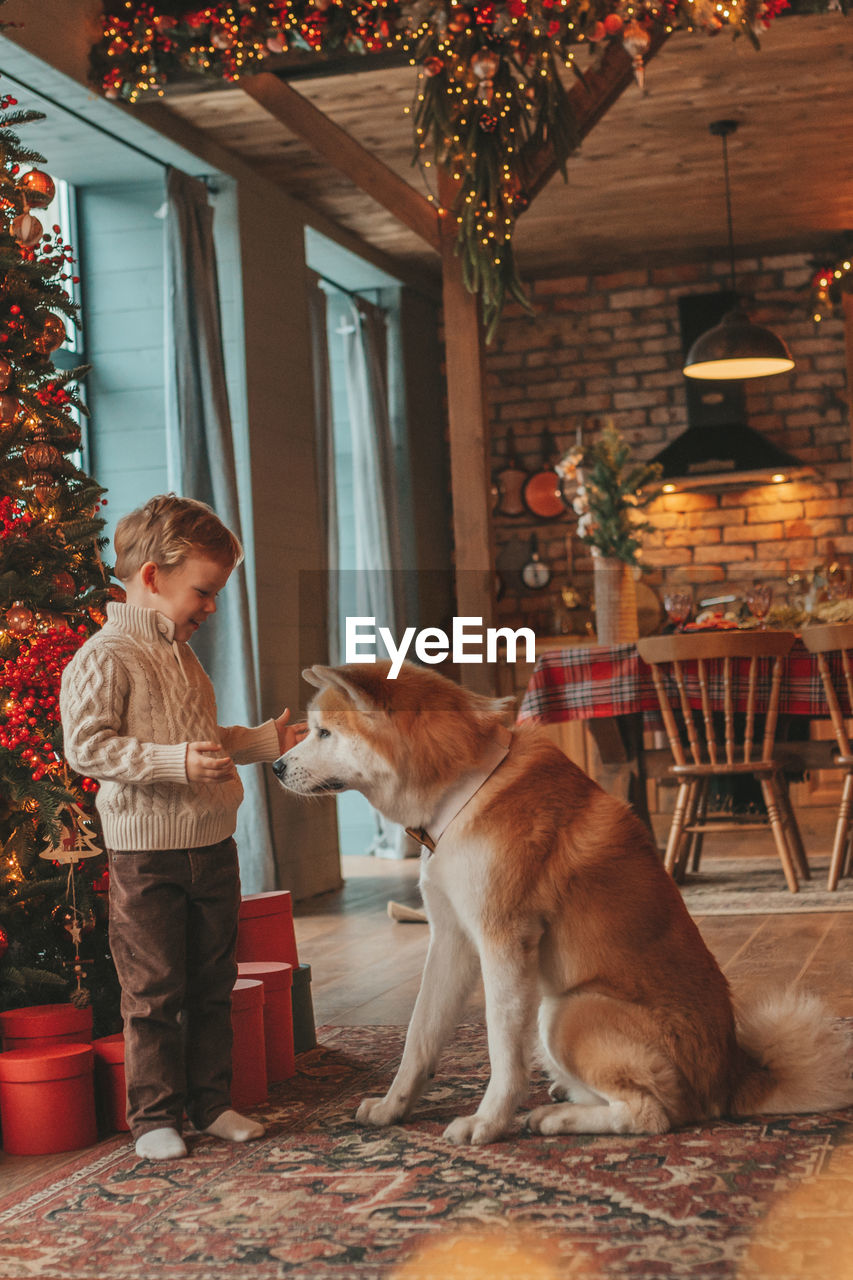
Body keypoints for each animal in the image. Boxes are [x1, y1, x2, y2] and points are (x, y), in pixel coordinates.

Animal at [274, 665, 850, 1146]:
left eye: (323, 732)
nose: (276, 766)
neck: (464, 792)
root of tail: (732, 1077)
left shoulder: (504, 944)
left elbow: (502, 1053)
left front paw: (488, 1122)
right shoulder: (451, 941)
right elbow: (419, 1037)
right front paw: (394, 1109)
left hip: (566, 1010)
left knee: (651, 1115)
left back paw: (556, 1117)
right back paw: (562, 1094)